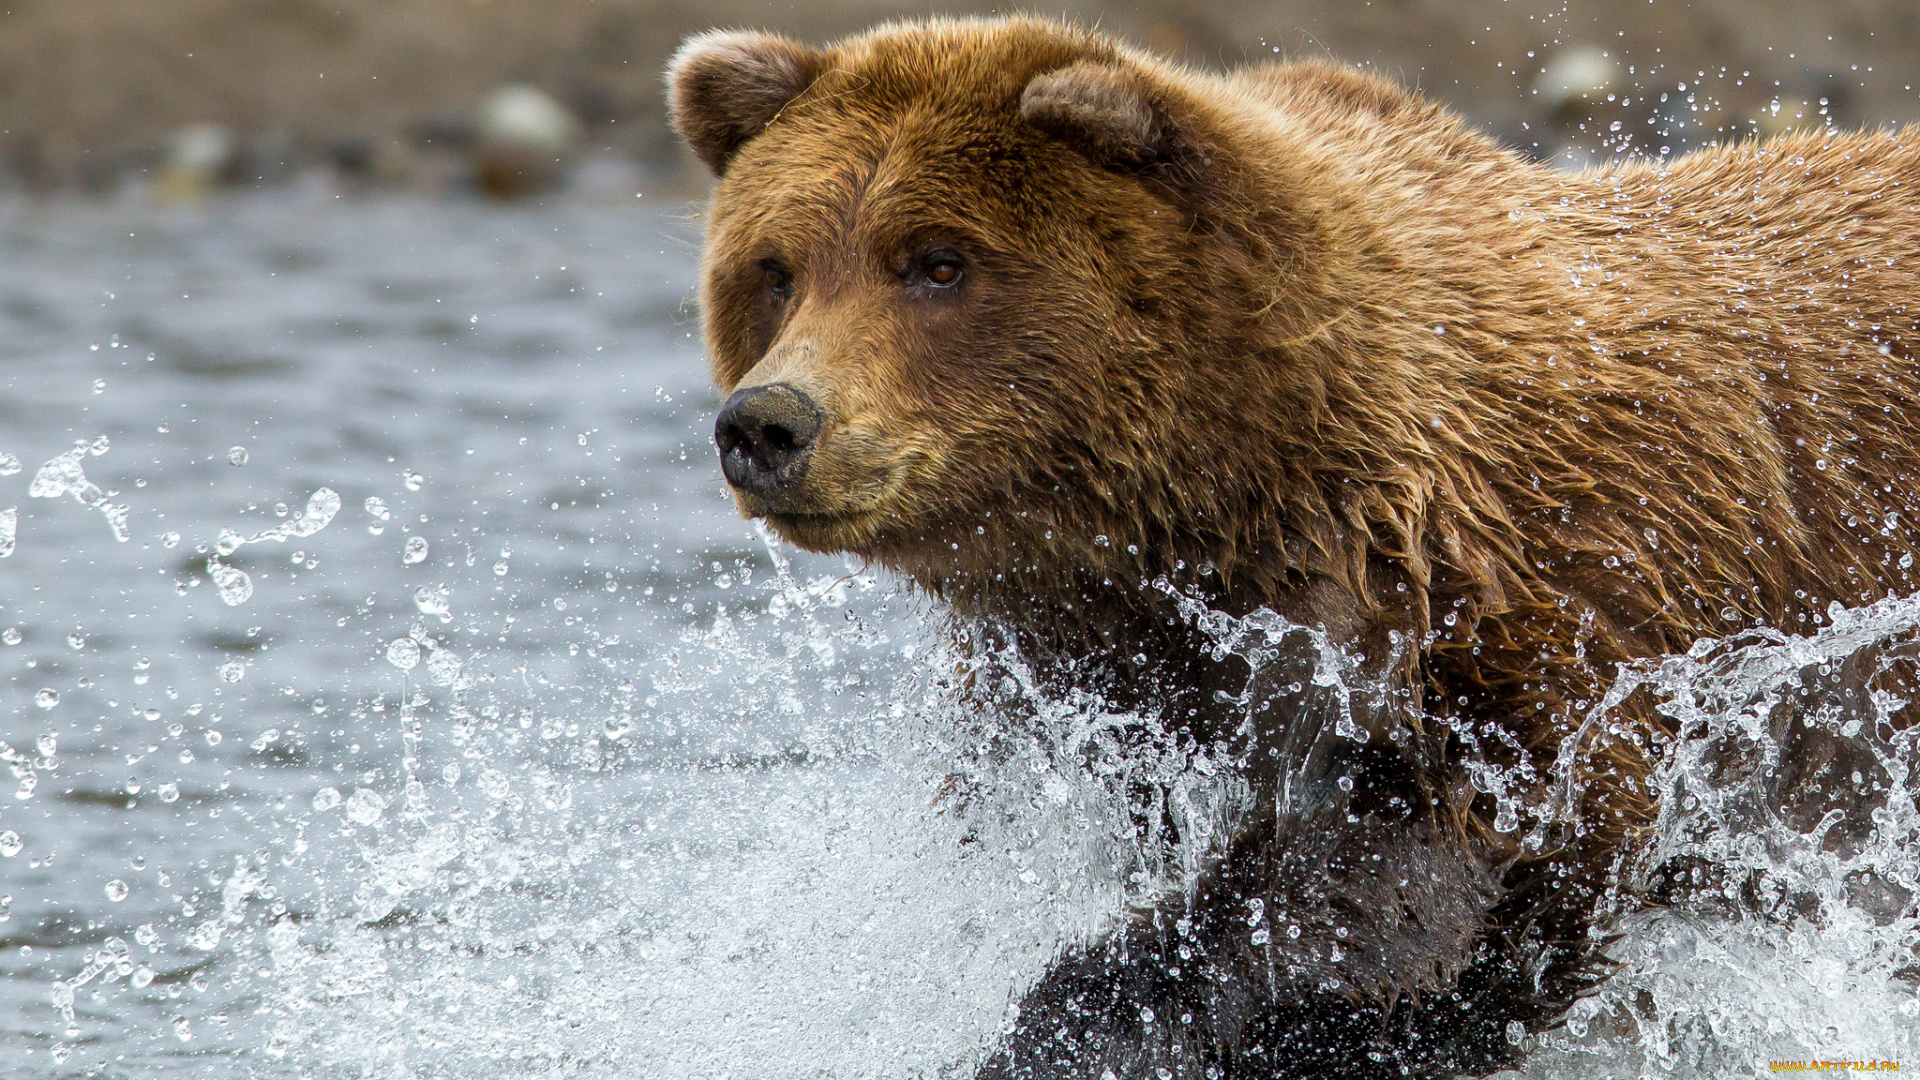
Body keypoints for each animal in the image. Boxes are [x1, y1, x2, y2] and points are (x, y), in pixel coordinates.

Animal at [668, 16, 1920, 1076]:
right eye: (775, 268)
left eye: (936, 260)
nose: (768, 423)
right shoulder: (1101, 679)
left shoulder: (1546, 601)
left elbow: (1458, 851)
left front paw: (1085, 1023)